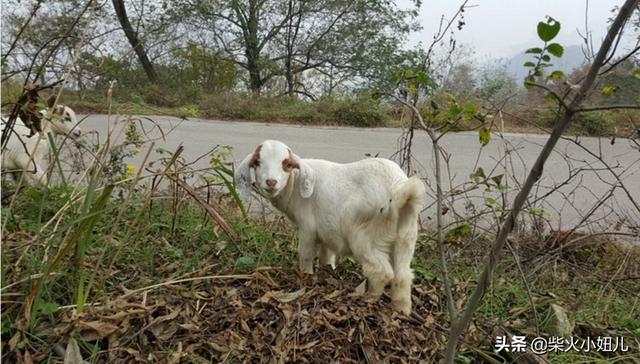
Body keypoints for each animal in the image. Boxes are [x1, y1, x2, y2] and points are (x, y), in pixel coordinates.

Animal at [235, 139, 424, 312]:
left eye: (286, 164)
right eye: (257, 162)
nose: (271, 182)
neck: (294, 185)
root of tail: (398, 189)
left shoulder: (307, 228)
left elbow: (305, 255)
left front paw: (306, 276)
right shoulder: (327, 232)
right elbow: (327, 256)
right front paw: (328, 272)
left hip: (364, 236)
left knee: (381, 272)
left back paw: (368, 298)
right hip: (406, 237)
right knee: (403, 276)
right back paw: (401, 309)